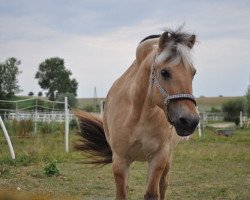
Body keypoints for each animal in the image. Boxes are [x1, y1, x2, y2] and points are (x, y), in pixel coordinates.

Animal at [75, 27, 200, 200]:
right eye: (164, 72)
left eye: (193, 73)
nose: (190, 121)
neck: (139, 115)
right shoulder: (120, 160)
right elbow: (122, 194)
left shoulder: (159, 158)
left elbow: (152, 194)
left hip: (167, 158)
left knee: (163, 185)